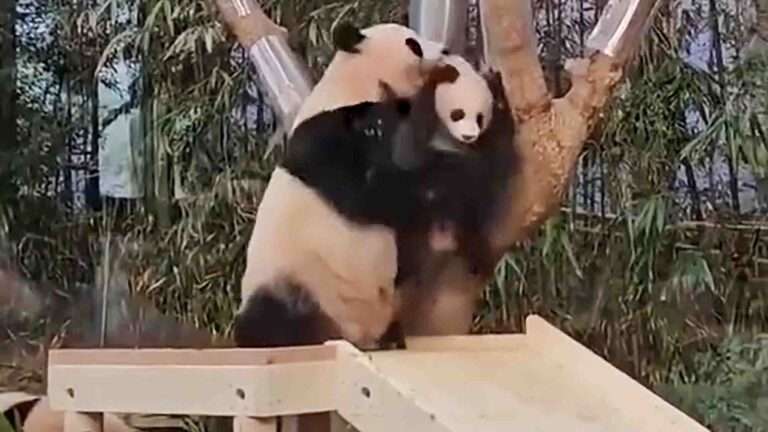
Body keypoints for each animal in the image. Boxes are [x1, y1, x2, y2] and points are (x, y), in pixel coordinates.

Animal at [234, 22, 450, 350]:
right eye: (413, 44)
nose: (445, 50)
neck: (357, 84)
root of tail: (353, 335)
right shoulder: (329, 138)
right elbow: (371, 196)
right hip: (291, 282)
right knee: (264, 318)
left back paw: (392, 339)